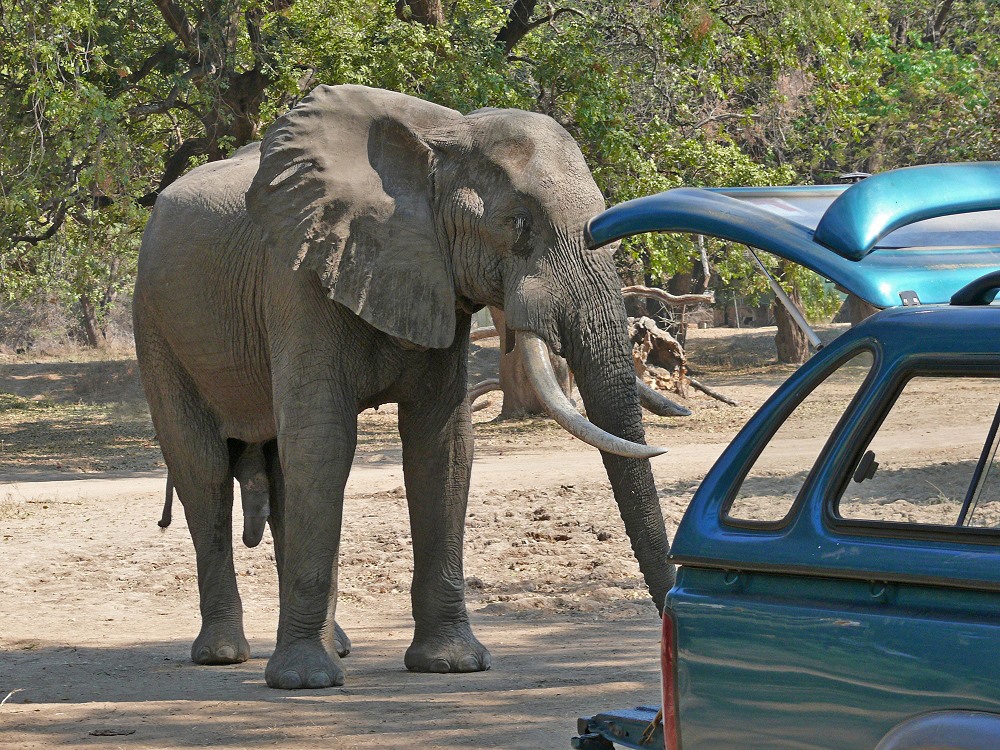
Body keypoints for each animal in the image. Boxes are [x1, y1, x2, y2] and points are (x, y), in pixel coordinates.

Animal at [133, 83, 676, 692]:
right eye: (518, 224)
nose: (671, 620)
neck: (444, 136)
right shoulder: (298, 275)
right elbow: (322, 441)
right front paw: (304, 681)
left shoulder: (438, 278)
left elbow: (441, 444)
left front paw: (453, 664)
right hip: (154, 321)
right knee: (202, 468)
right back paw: (226, 654)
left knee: (277, 474)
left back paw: (337, 646)